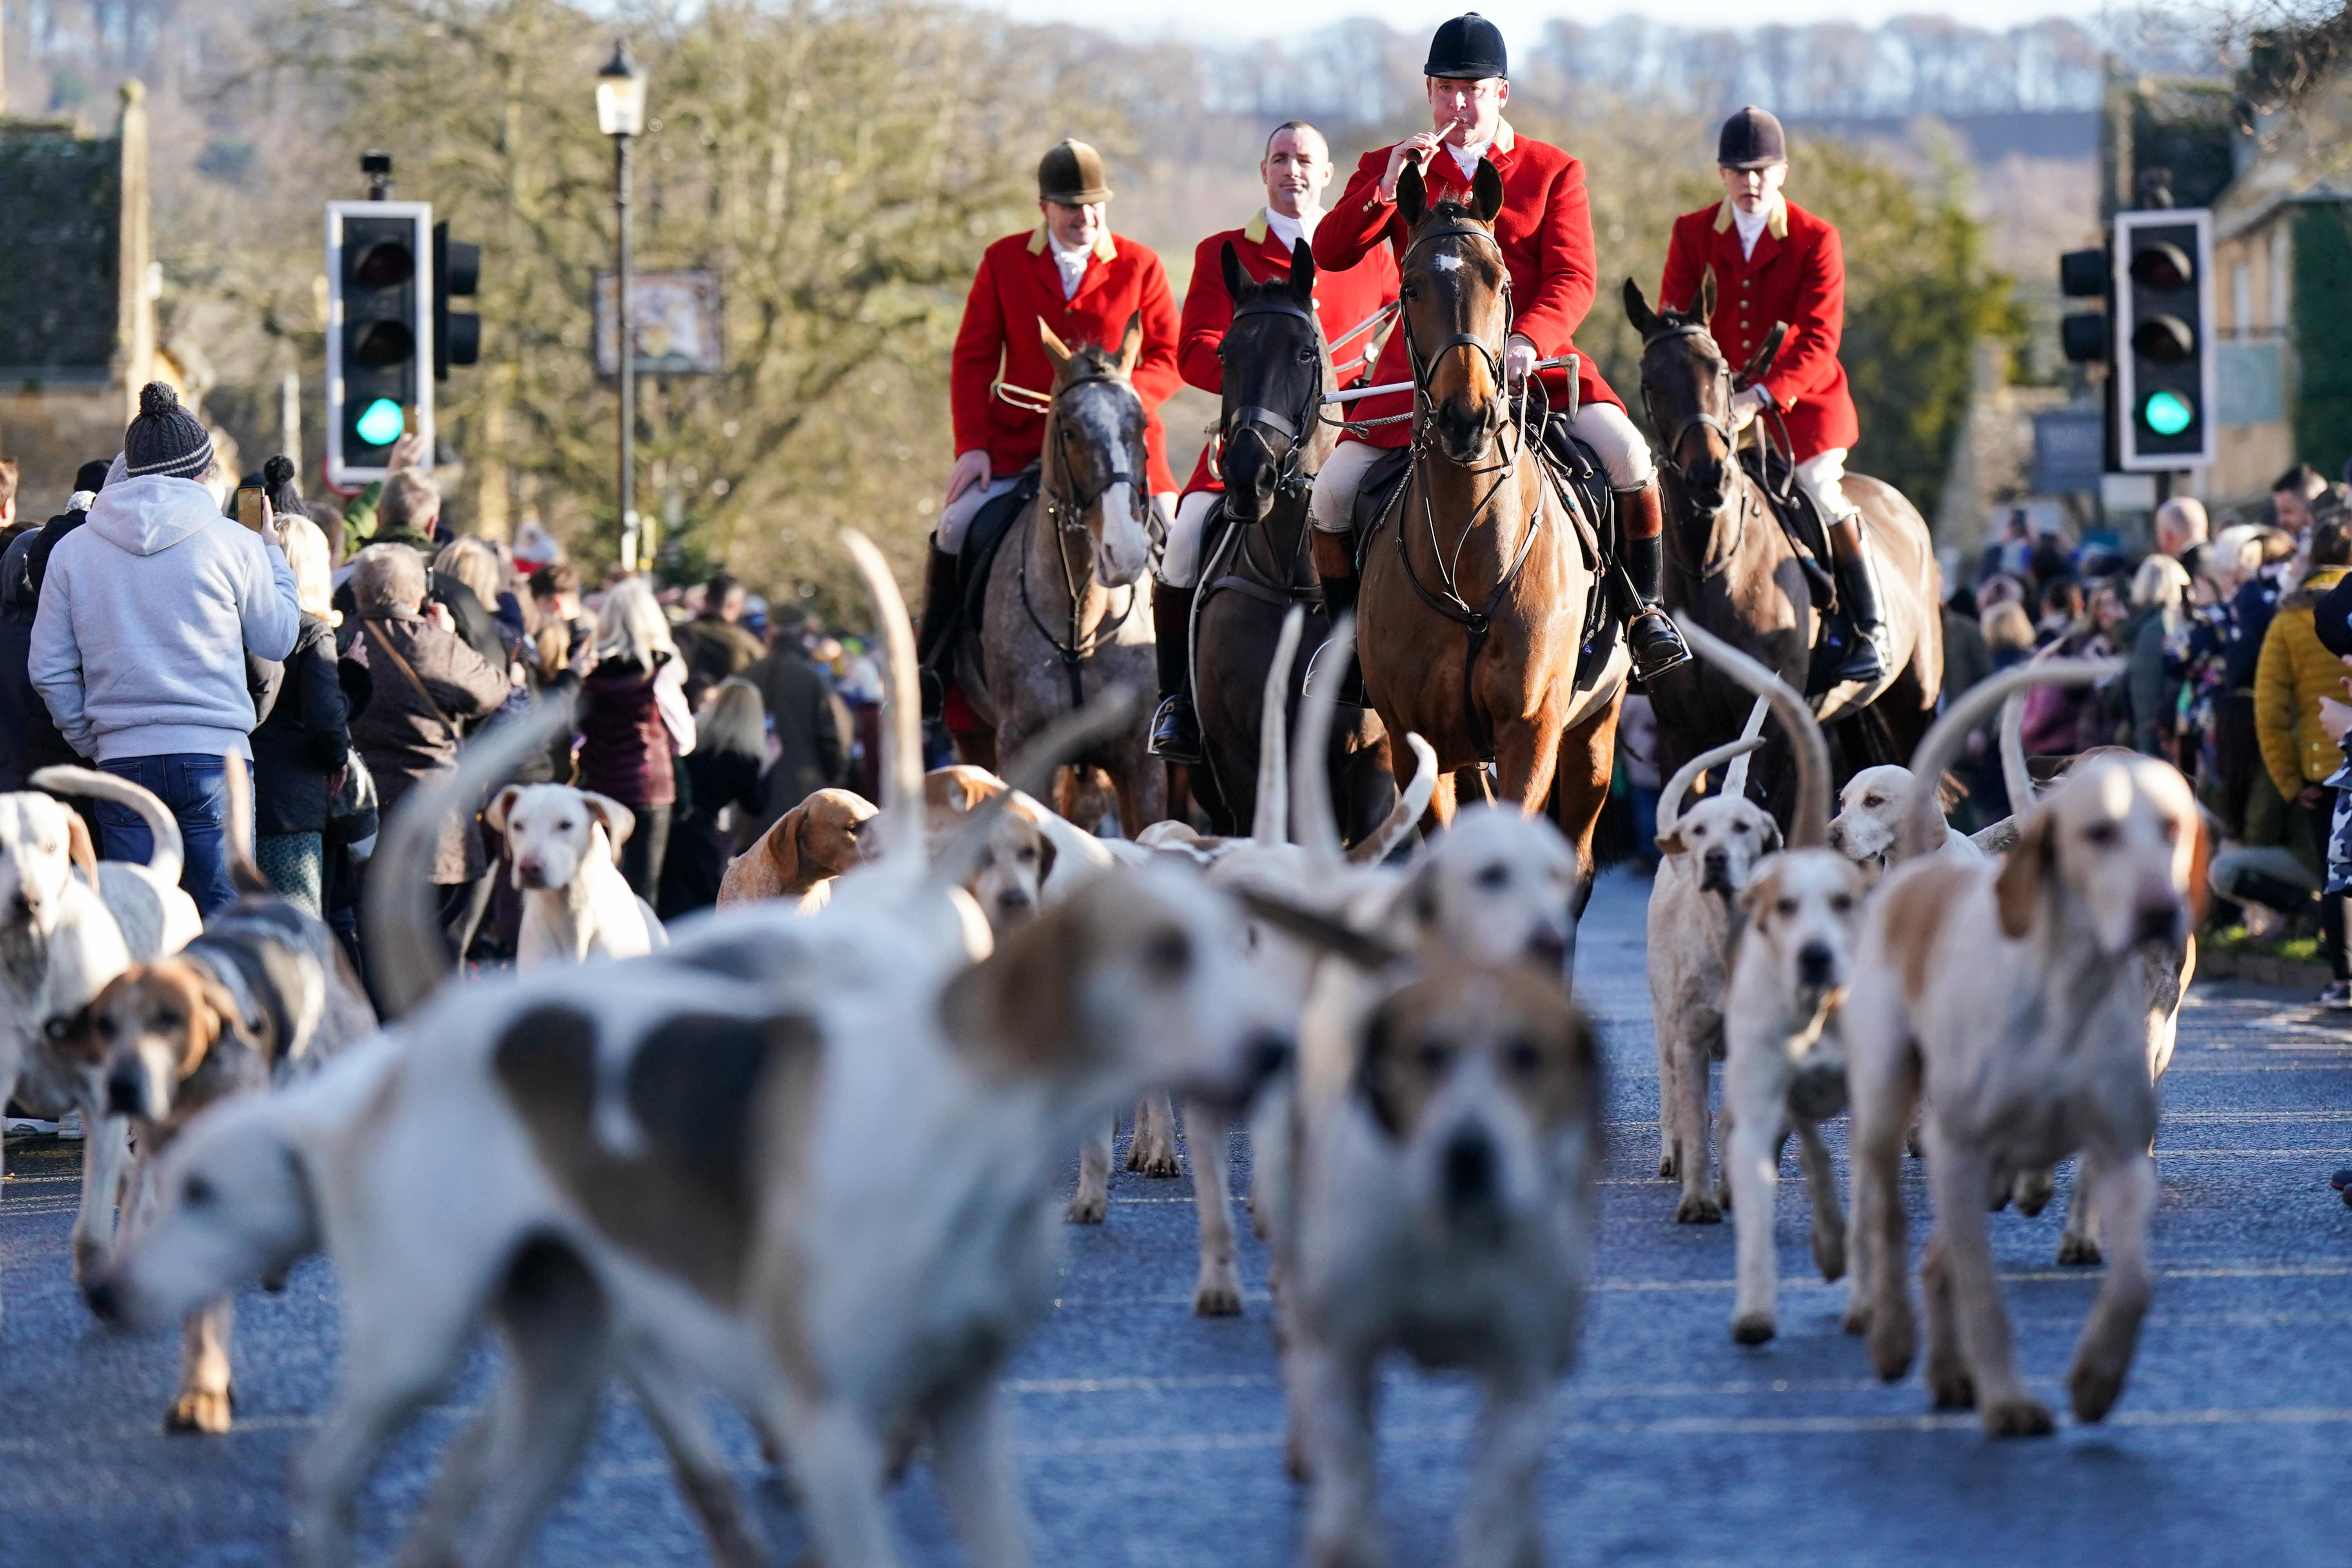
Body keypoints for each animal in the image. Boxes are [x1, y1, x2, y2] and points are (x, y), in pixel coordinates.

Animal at [955, 317, 1167, 832]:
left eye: (1142, 426)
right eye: (1069, 432)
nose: (1124, 553)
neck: (1081, 618)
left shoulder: (1141, 761)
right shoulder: (1023, 753)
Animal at [1355, 165, 1628, 888]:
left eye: (1502, 284)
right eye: (1410, 289)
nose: (1466, 419)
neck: (1470, 555)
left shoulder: (1530, 731)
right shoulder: (1416, 745)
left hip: (1595, 730)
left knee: (1579, 860)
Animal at [1628, 277, 1938, 827]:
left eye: (1721, 371)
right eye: (1650, 383)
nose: (1708, 476)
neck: (1711, 564)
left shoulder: (1770, 729)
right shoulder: (1680, 730)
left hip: (1914, 700)